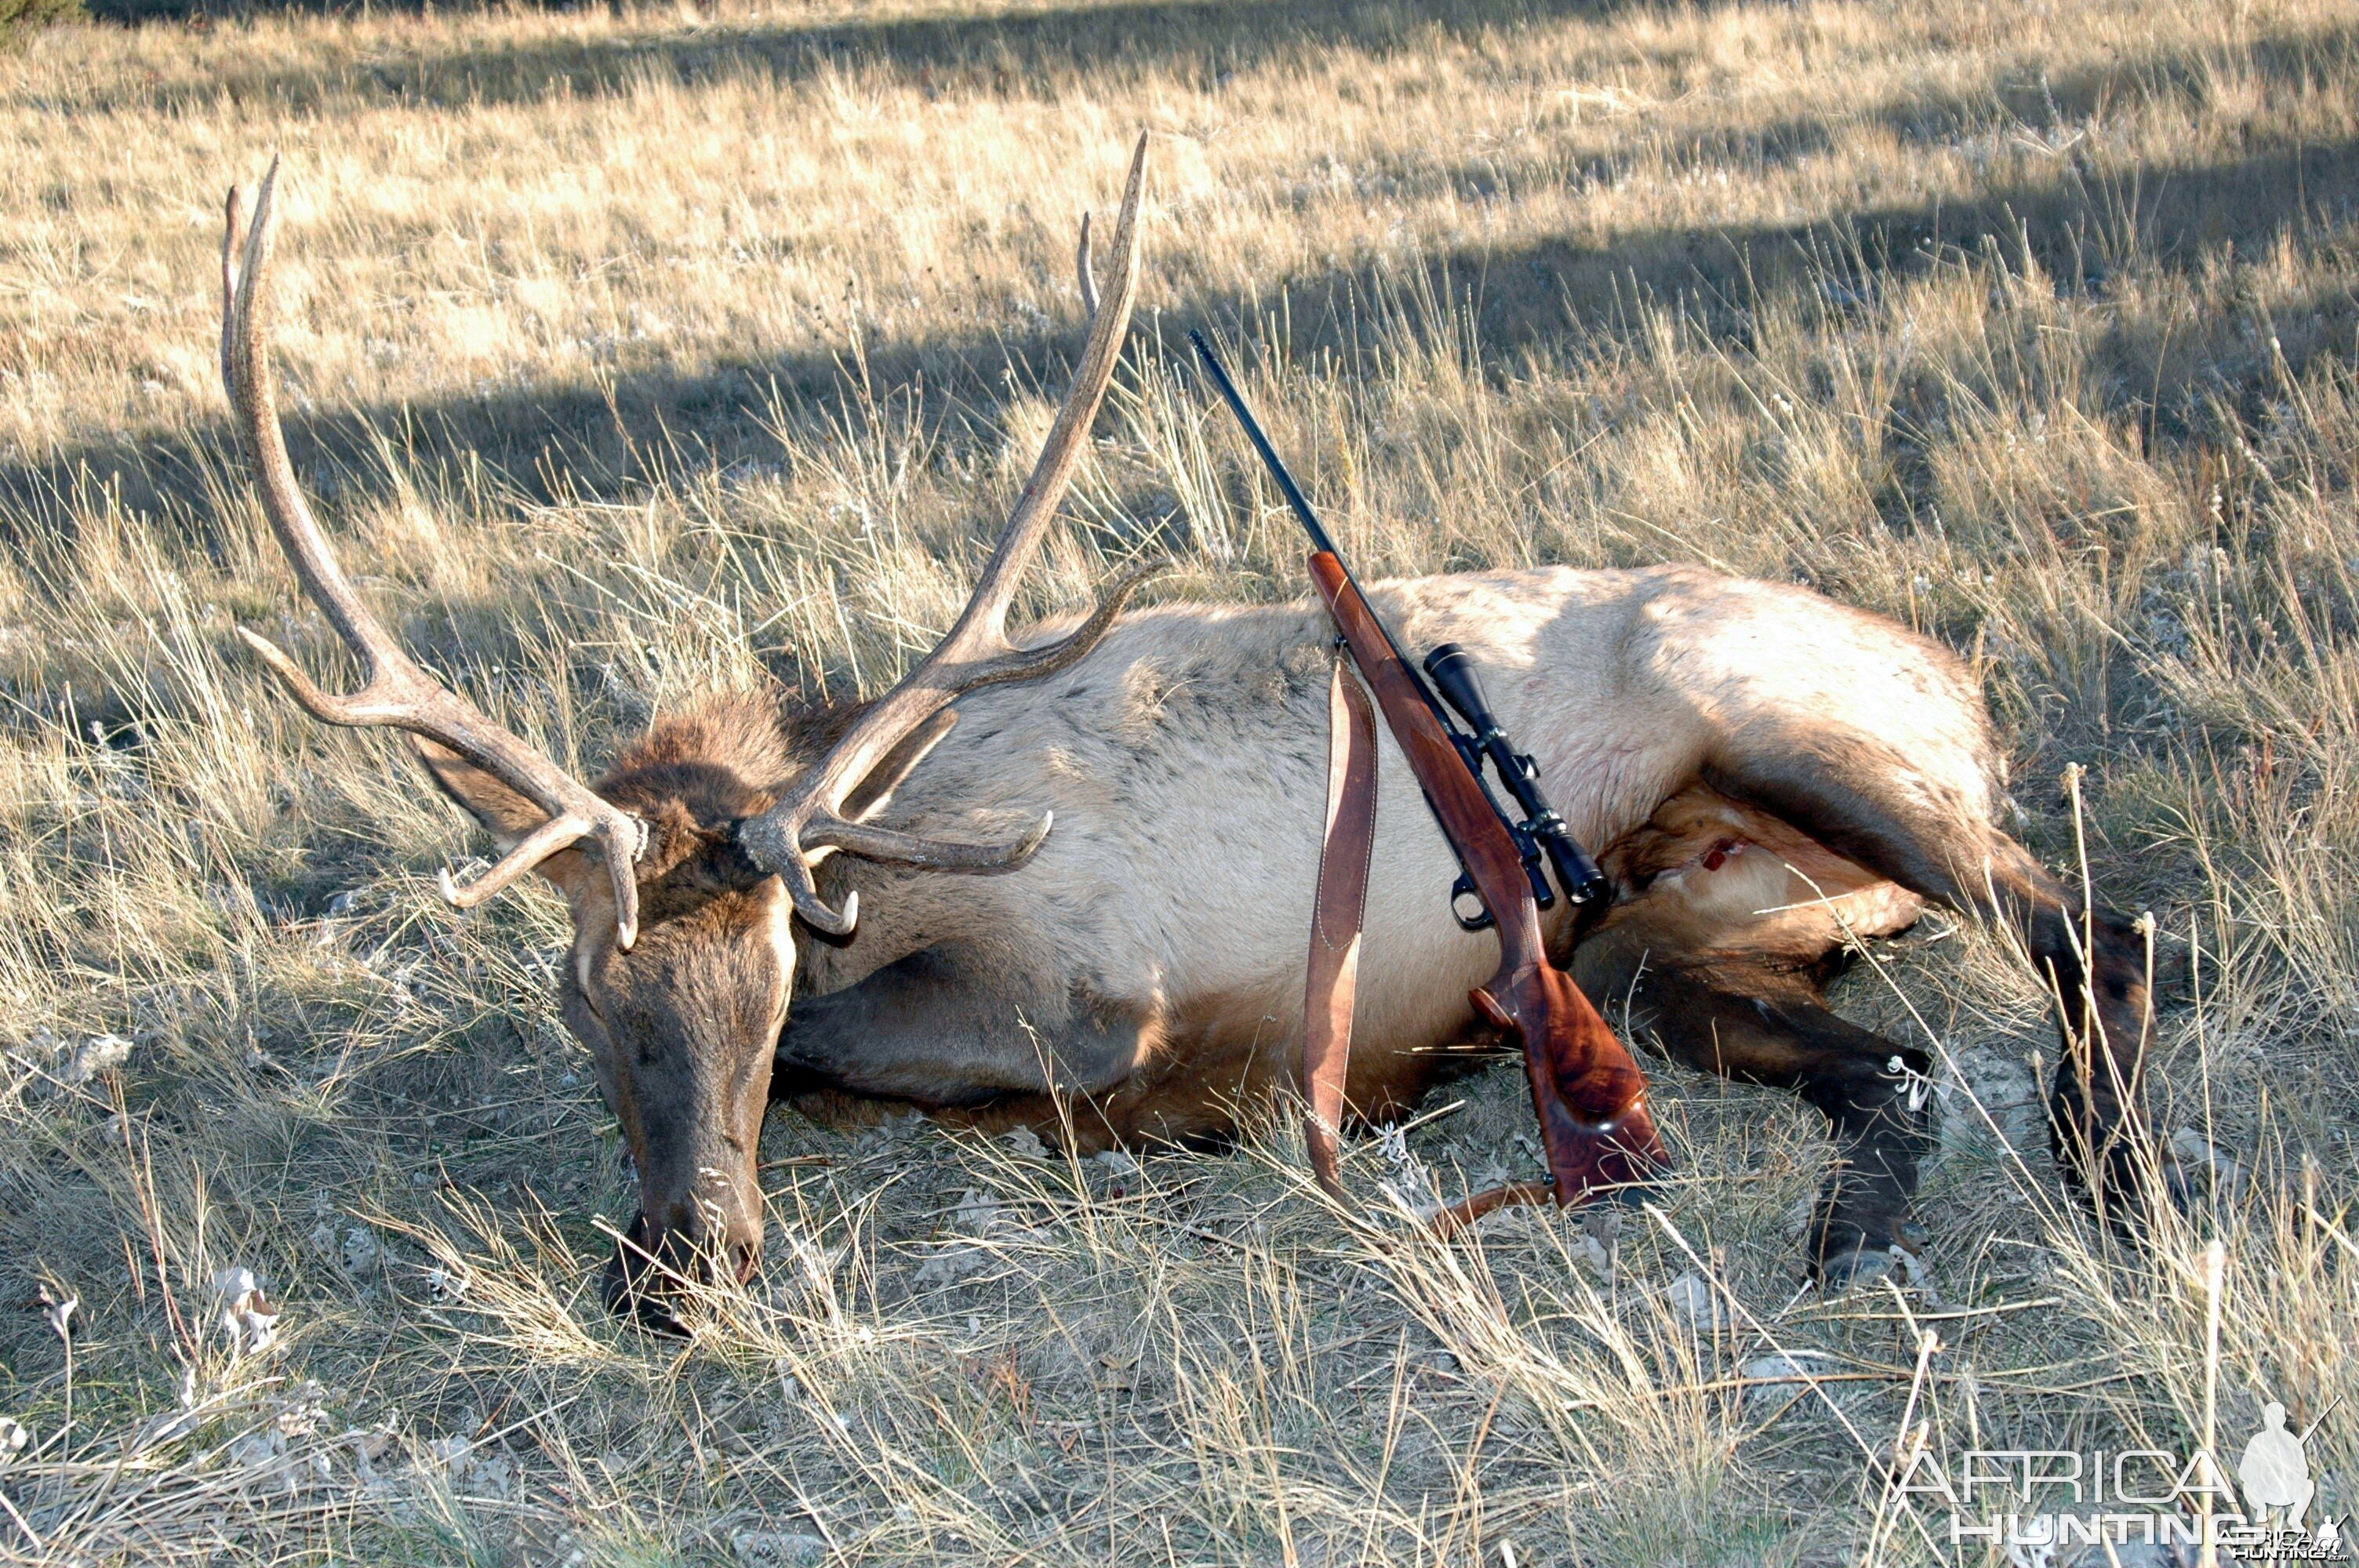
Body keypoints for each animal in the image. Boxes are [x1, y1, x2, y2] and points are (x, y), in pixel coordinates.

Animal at [225, 137, 2170, 1320]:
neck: (903, 849)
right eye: (581, 998)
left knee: (2106, 925)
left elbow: (935, 1063)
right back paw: (1853, 1234)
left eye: (769, 981)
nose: (683, 1270)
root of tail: (1968, 686)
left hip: (1787, 745)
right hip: (1652, 944)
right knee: (1893, 1064)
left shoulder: (1100, 984)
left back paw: (2116, 1185)